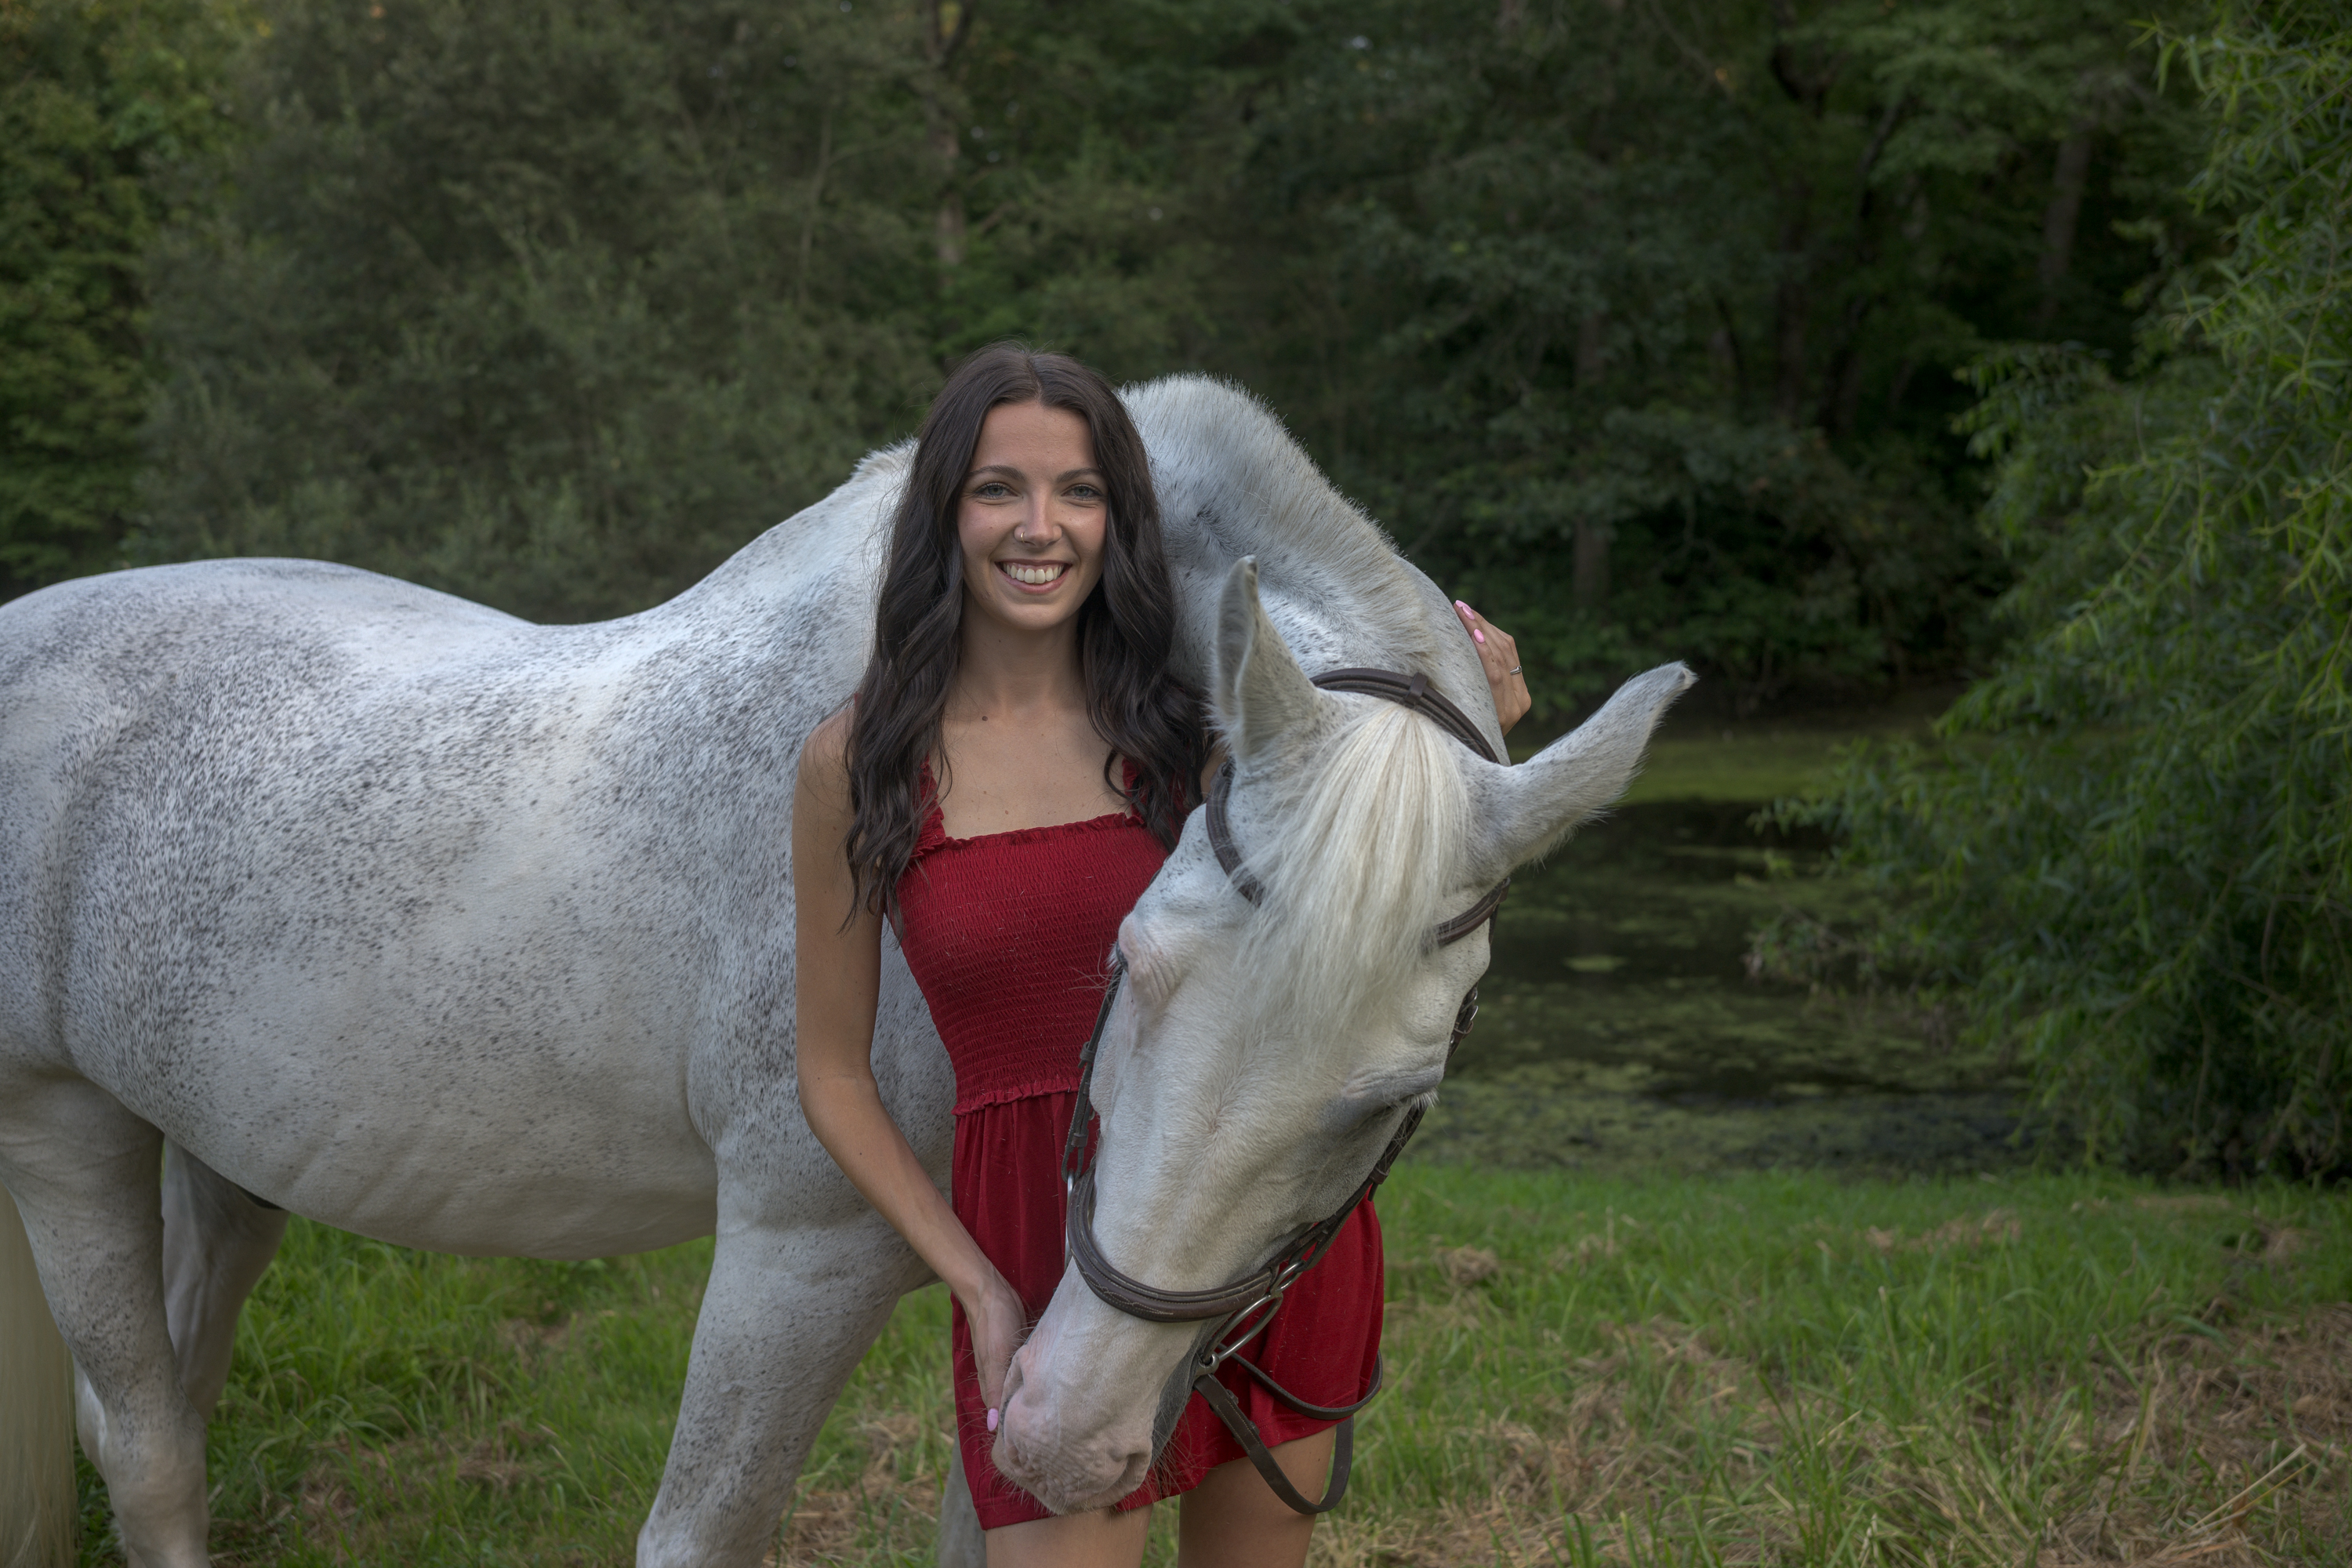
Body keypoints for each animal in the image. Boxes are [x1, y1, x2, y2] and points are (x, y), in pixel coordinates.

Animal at [0, 374, 1691, 1567]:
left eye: (1394, 1098)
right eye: (1131, 965)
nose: (1078, 1437)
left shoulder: (1003, 1317)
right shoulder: (799, 1248)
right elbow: (702, 1529)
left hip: (222, 1152)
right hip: (65, 1127)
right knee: (147, 1446)